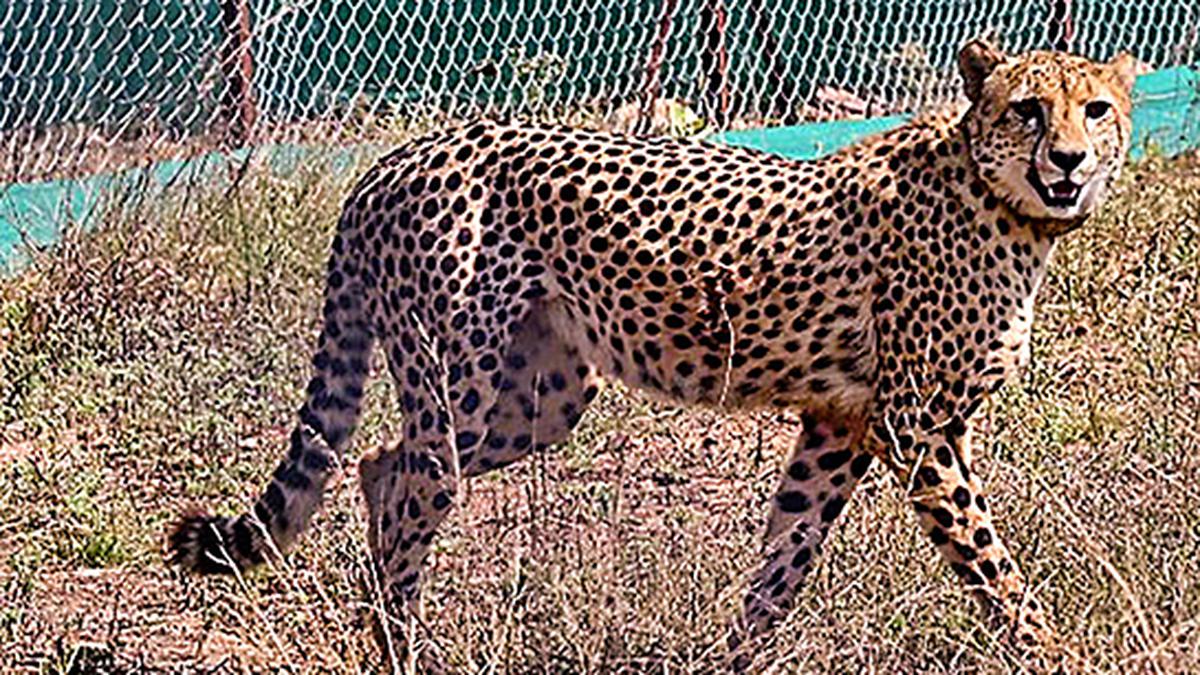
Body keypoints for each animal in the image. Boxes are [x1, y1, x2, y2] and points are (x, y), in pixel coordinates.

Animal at [171, 42, 1132, 667]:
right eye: (1027, 109)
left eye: (1097, 109)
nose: (1070, 161)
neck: (1000, 199)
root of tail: (391, 160)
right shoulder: (915, 428)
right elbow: (992, 566)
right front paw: (1055, 653)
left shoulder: (840, 424)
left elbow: (783, 559)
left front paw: (734, 657)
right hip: (461, 383)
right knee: (412, 482)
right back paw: (403, 649)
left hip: (542, 399)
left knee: (378, 464)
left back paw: (389, 629)